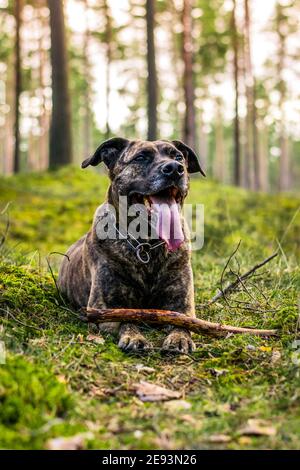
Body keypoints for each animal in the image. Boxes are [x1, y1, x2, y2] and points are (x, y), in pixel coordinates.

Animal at [57, 138, 205, 354]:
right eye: (141, 158)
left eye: (178, 157)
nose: (174, 169)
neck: (146, 243)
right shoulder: (104, 307)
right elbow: (127, 318)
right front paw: (134, 337)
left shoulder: (182, 304)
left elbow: (182, 322)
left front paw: (179, 338)